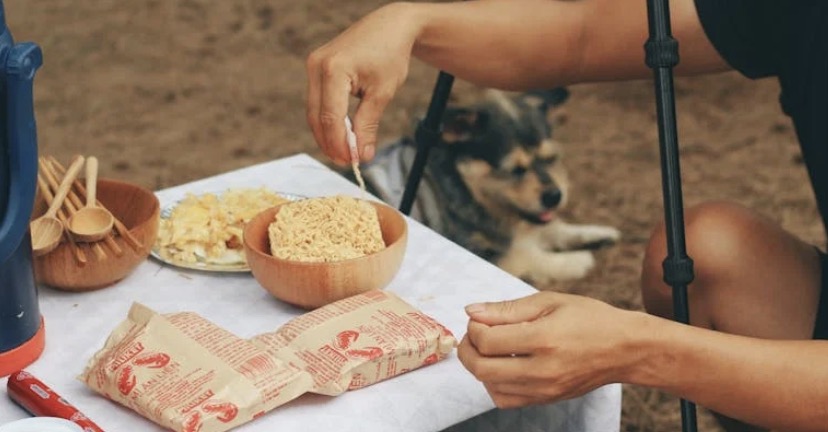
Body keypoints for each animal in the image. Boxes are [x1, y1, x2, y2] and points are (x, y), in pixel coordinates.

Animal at [346, 88, 616, 284]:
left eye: (550, 159)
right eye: (515, 170)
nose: (555, 196)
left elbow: (555, 229)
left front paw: (601, 233)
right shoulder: (484, 250)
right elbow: (530, 255)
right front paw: (577, 261)